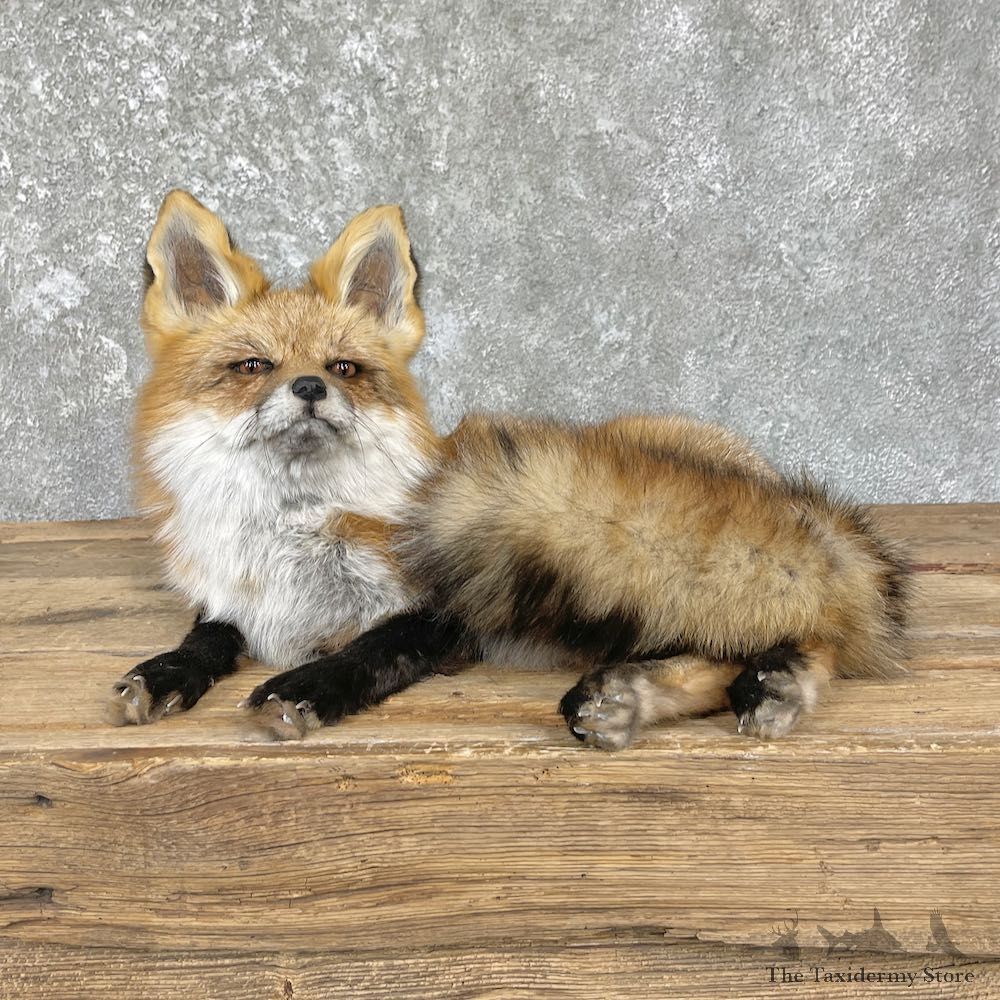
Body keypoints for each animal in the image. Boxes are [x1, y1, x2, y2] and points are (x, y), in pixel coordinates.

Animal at [113, 191, 909, 751]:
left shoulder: (446, 609)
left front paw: (310, 686)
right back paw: (635, 701)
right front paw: (166, 671)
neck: (290, 535)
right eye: (254, 366)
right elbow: (206, 637)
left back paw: (772, 686)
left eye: (344, 369)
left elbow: (372, 649)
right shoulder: (232, 597)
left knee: (800, 628)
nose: (310, 388)